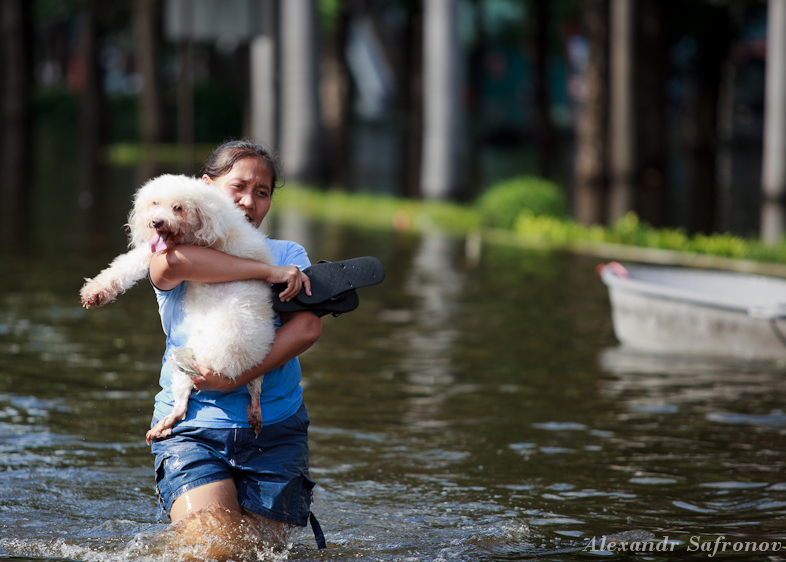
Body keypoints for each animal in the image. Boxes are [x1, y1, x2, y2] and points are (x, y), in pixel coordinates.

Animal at [80, 173, 276, 440]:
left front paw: (95, 291)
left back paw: (163, 425)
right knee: (255, 384)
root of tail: (231, 365)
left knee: (182, 406)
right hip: (248, 359)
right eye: (154, 203)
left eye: (178, 208)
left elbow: (129, 263)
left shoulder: (178, 252)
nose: (156, 222)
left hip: (186, 363)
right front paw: (96, 292)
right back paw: (254, 411)